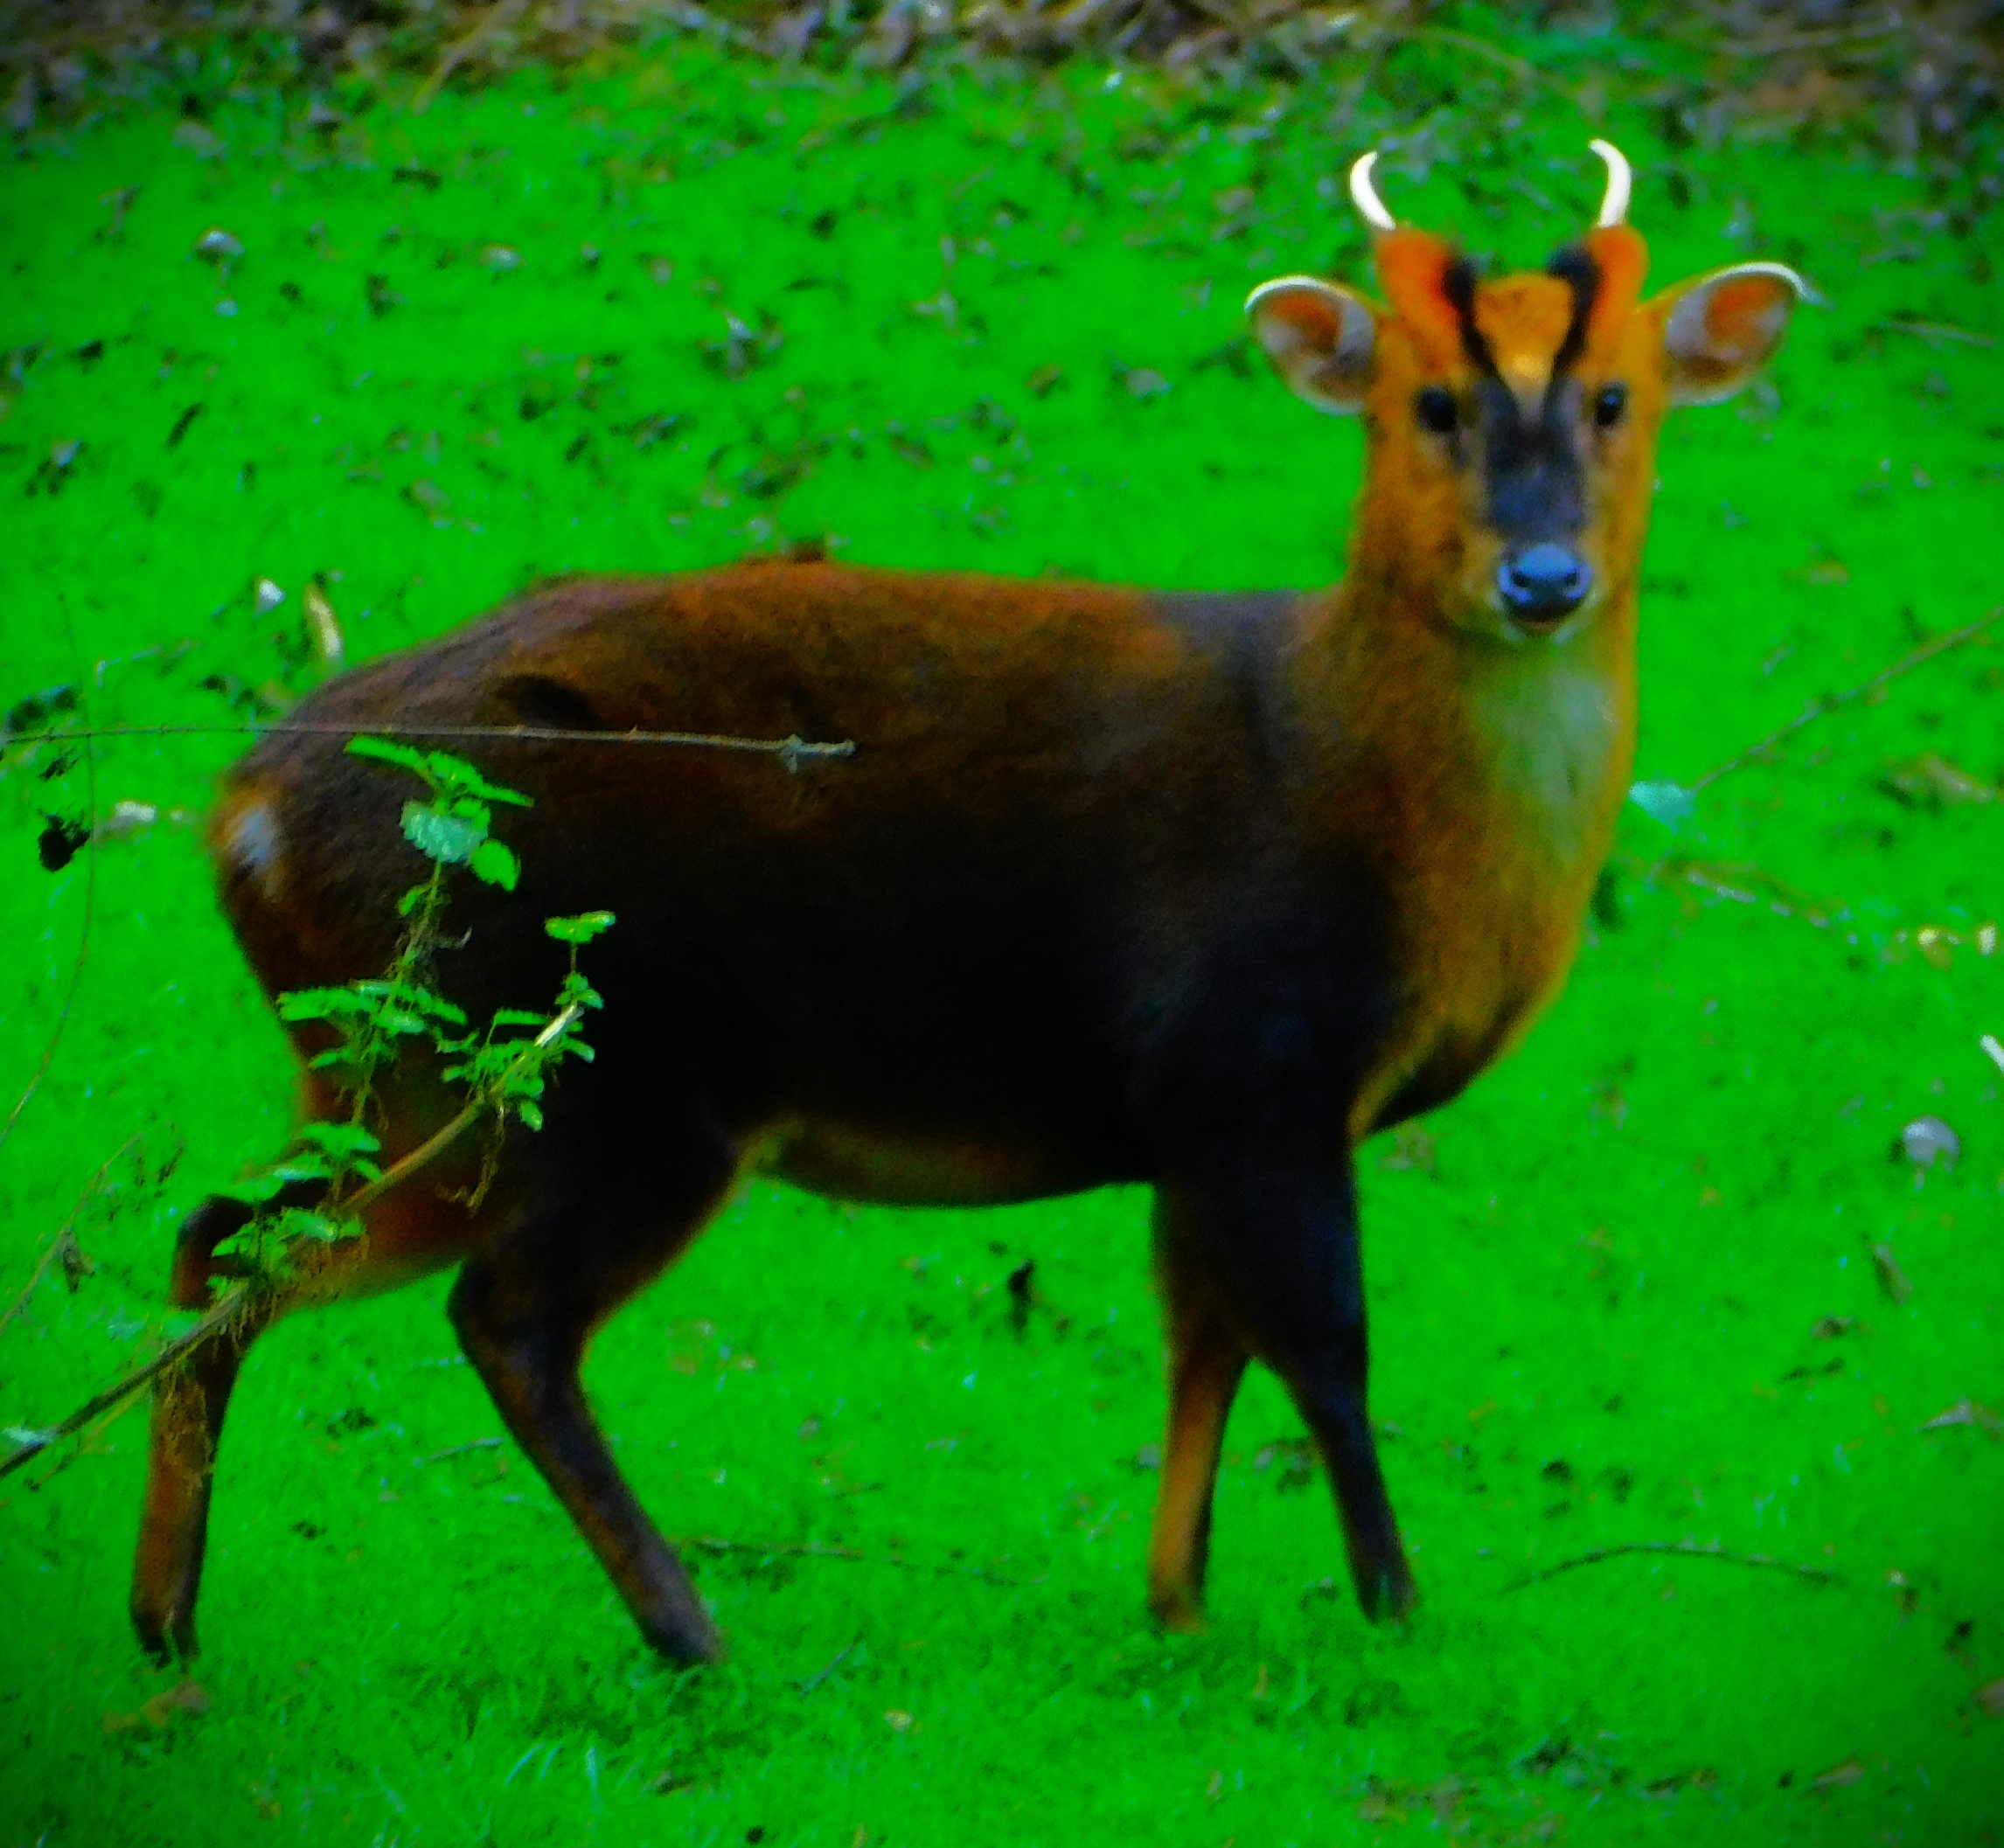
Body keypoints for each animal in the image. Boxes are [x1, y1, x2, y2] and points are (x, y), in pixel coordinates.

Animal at [131, 141, 1803, 1668]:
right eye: (1431, 404)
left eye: (1617, 400)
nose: (1543, 577)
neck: (1379, 793)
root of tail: (244, 815)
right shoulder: (1252, 1056)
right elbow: (1322, 1337)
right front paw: (1392, 1606)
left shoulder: (1187, 1115)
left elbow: (1201, 1337)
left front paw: (1178, 1607)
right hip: (606, 1061)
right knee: (504, 1314)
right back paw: (689, 1626)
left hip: (405, 1068)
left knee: (226, 1233)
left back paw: (166, 1620)